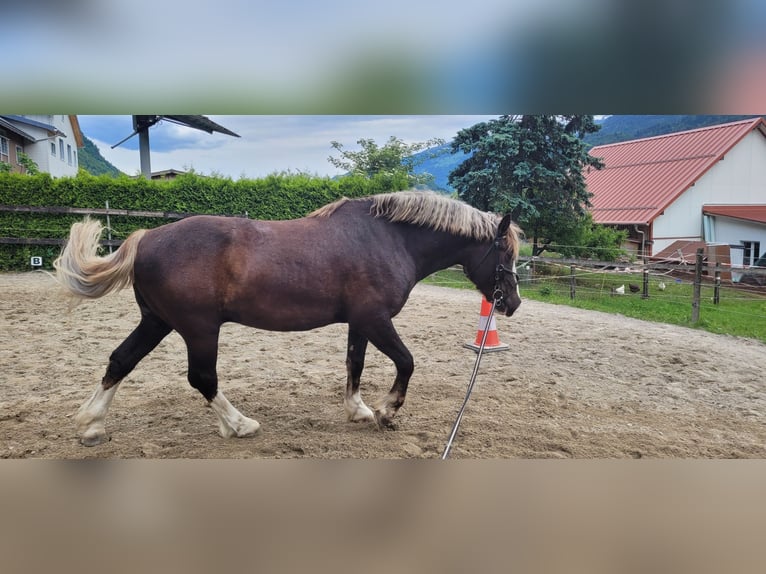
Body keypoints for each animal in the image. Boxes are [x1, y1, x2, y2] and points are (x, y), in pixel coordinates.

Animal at [54, 190, 523, 446]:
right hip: (199, 329)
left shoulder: (360, 323)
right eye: (506, 251)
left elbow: (355, 364)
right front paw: (387, 412)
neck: (388, 239)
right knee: (202, 378)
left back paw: (91, 425)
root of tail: (147, 237)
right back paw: (240, 424)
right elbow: (406, 362)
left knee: (121, 360)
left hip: (157, 321)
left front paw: (358, 411)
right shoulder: (376, 319)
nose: (512, 303)